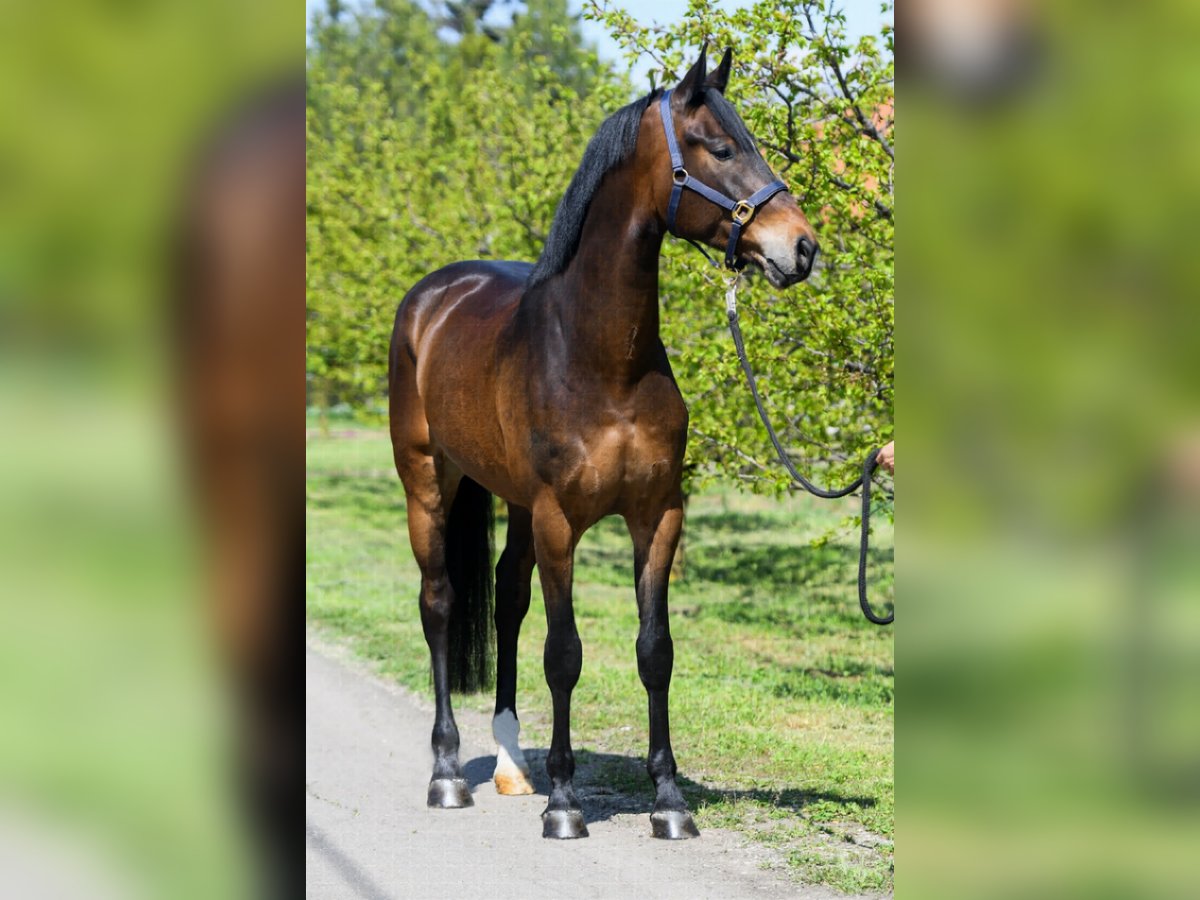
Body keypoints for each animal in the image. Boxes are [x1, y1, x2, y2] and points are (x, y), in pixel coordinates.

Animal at [388, 45, 820, 844]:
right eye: (719, 148)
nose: (801, 248)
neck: (602, 359)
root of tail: (432, 296)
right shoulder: (561, 520)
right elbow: (565, 653)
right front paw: (565, 804)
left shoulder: (658, 515)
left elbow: (655, 652)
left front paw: (669, 801)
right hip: (429, 483)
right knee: (440, 604)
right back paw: (448, 773)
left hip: (514, 504)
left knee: (507, 597)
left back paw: (511, 764)